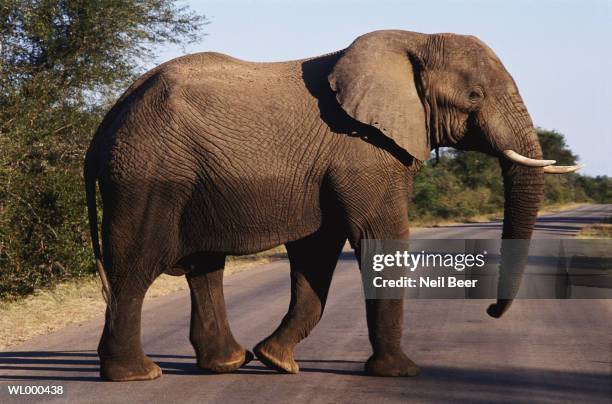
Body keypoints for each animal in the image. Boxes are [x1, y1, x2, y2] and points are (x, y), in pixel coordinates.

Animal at [85, 30, 580, 380]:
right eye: (475, 96)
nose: (491, 312)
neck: (413, 39)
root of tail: (109, 118)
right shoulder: (362, 148)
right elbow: (378, 237)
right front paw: (400, 373)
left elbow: (316, 252)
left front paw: (277, 361)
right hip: (149, 173)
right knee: (136, 264)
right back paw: (137, 375)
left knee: (204, 266)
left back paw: (227, 364)